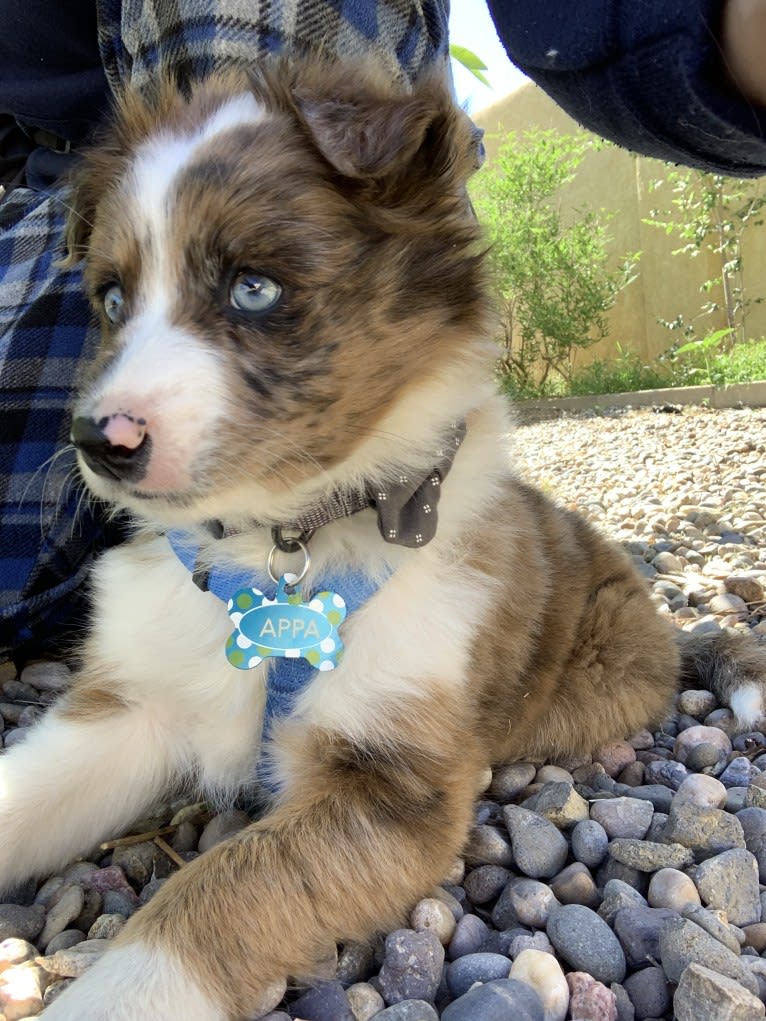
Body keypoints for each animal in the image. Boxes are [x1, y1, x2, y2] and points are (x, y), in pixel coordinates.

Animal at [6, 59, 766, 1016]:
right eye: (111, 298)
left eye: (253, 286)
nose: (98, 441)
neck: (280, 548)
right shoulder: (134, 700)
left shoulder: (394, 783)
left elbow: (224, 894)